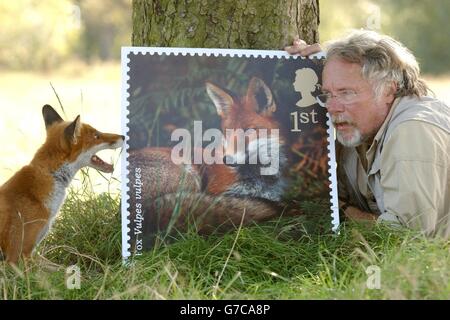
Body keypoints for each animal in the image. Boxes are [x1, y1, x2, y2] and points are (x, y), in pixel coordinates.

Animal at [127, 76, 288, 246]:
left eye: (249, 131)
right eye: (227, 133)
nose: (226, 159)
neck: (258, 179)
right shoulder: (218, 191)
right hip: (189, 178)